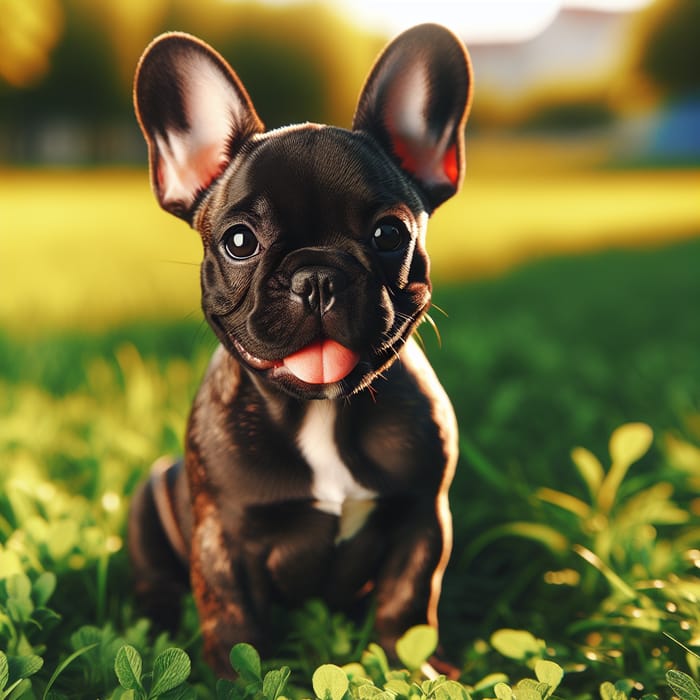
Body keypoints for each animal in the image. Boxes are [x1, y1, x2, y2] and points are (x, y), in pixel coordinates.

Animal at [129, 21, 474, 676]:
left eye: (389, 234)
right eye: (240, 241)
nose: (316, 276)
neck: (321, 411)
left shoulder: (425, 517)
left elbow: (408, 601)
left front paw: (414, 668)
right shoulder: (223, 538)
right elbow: (233, 619)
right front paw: (231, 679)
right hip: (150, 497)